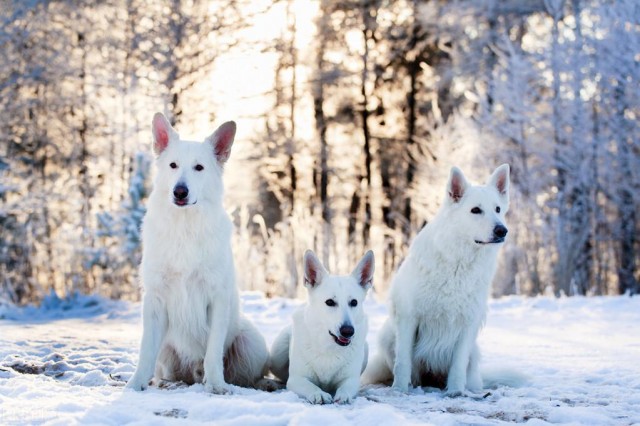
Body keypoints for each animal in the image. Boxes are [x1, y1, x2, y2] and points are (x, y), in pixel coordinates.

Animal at [127, 112, 268, 392]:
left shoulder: (217, 298)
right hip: (167, 351)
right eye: (173, 165)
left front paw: (215, 385)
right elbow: (145, 351)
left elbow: (213, 352)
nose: (180, 191)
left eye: (199, 168)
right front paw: (136, 384)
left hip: (250, 342)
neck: (185, 228)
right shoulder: (155, 300)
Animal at [268, 251, 376, 404]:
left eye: (354, 302)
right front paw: (318, 393)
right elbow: (310, 386)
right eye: (330, 302)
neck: (328, 347)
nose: (348, 331)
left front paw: (343, 395)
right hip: (277, 354)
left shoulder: (352, 380)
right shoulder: (296, 379)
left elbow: (346, 388)